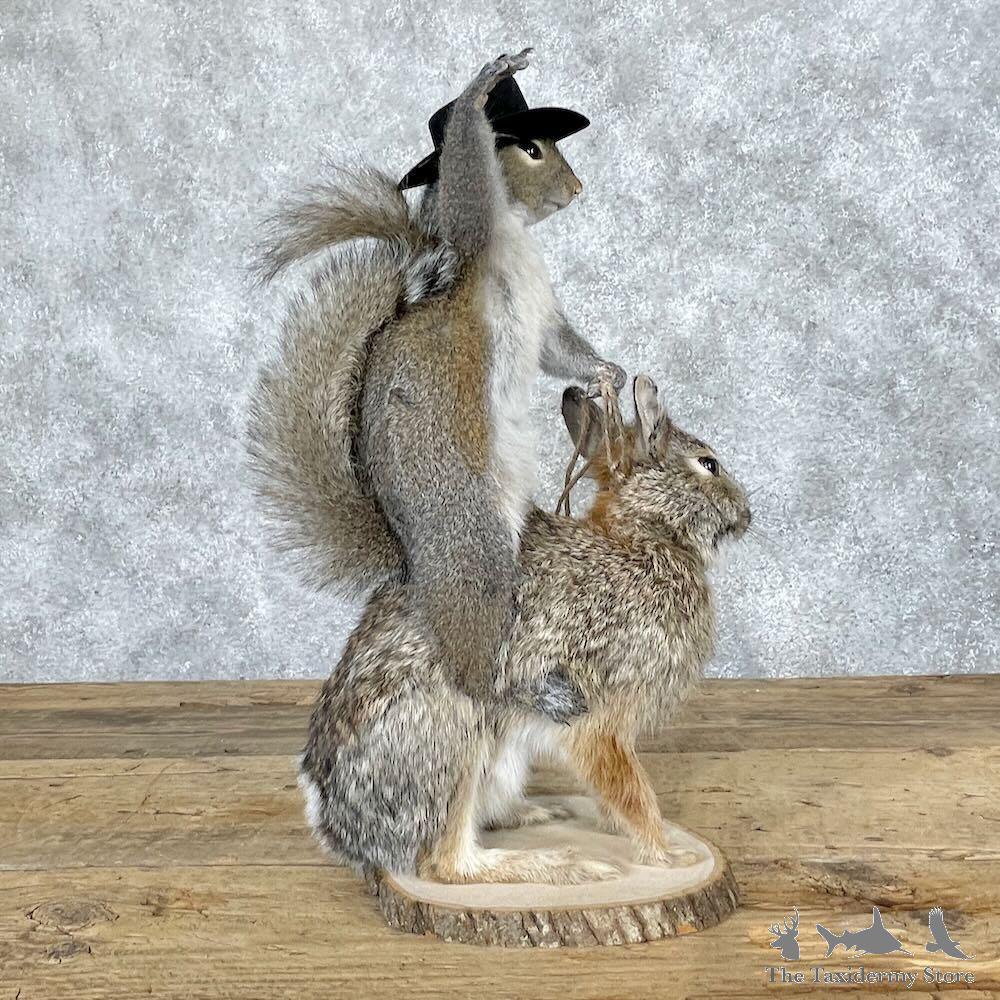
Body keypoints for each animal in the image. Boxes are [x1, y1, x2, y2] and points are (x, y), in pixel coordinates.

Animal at [247, 49, 625, 698]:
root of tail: (413, 561)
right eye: (530, 148)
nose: (577, 189)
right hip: (473, 541)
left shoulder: (543, 320)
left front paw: (607, 372)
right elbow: (468, 167)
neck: (514, 231)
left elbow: (558, 352)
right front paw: (481, 88)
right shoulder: (472, 219)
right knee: (469, 659)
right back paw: (515, 691)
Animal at [298, 375, 752, 883]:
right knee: (448, 863)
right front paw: (667, 855)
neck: (644, 539)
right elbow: (631, 789)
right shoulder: (599, 715)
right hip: (452, 737)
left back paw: (539, 815)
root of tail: (333, 822)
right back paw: (565, 864)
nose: (746, 515)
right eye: (708, 464)